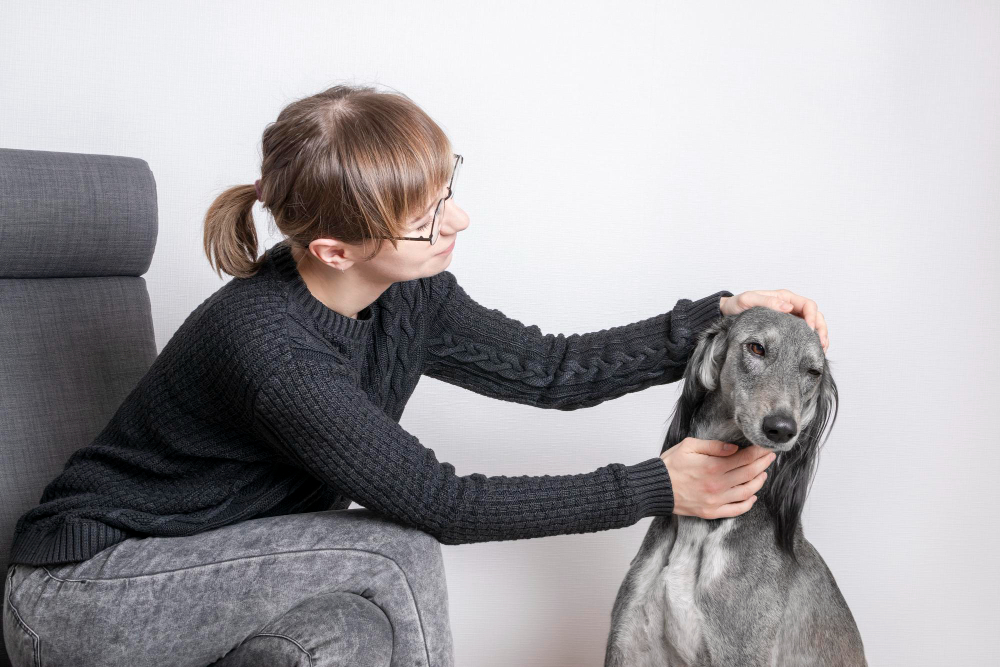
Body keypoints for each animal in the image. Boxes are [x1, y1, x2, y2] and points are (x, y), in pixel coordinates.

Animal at [604, 306, 867, 666]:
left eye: (813, 372)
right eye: (756, 348)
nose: (782, 429)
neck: (698, 529)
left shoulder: (740, 652)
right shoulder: (628, 648)